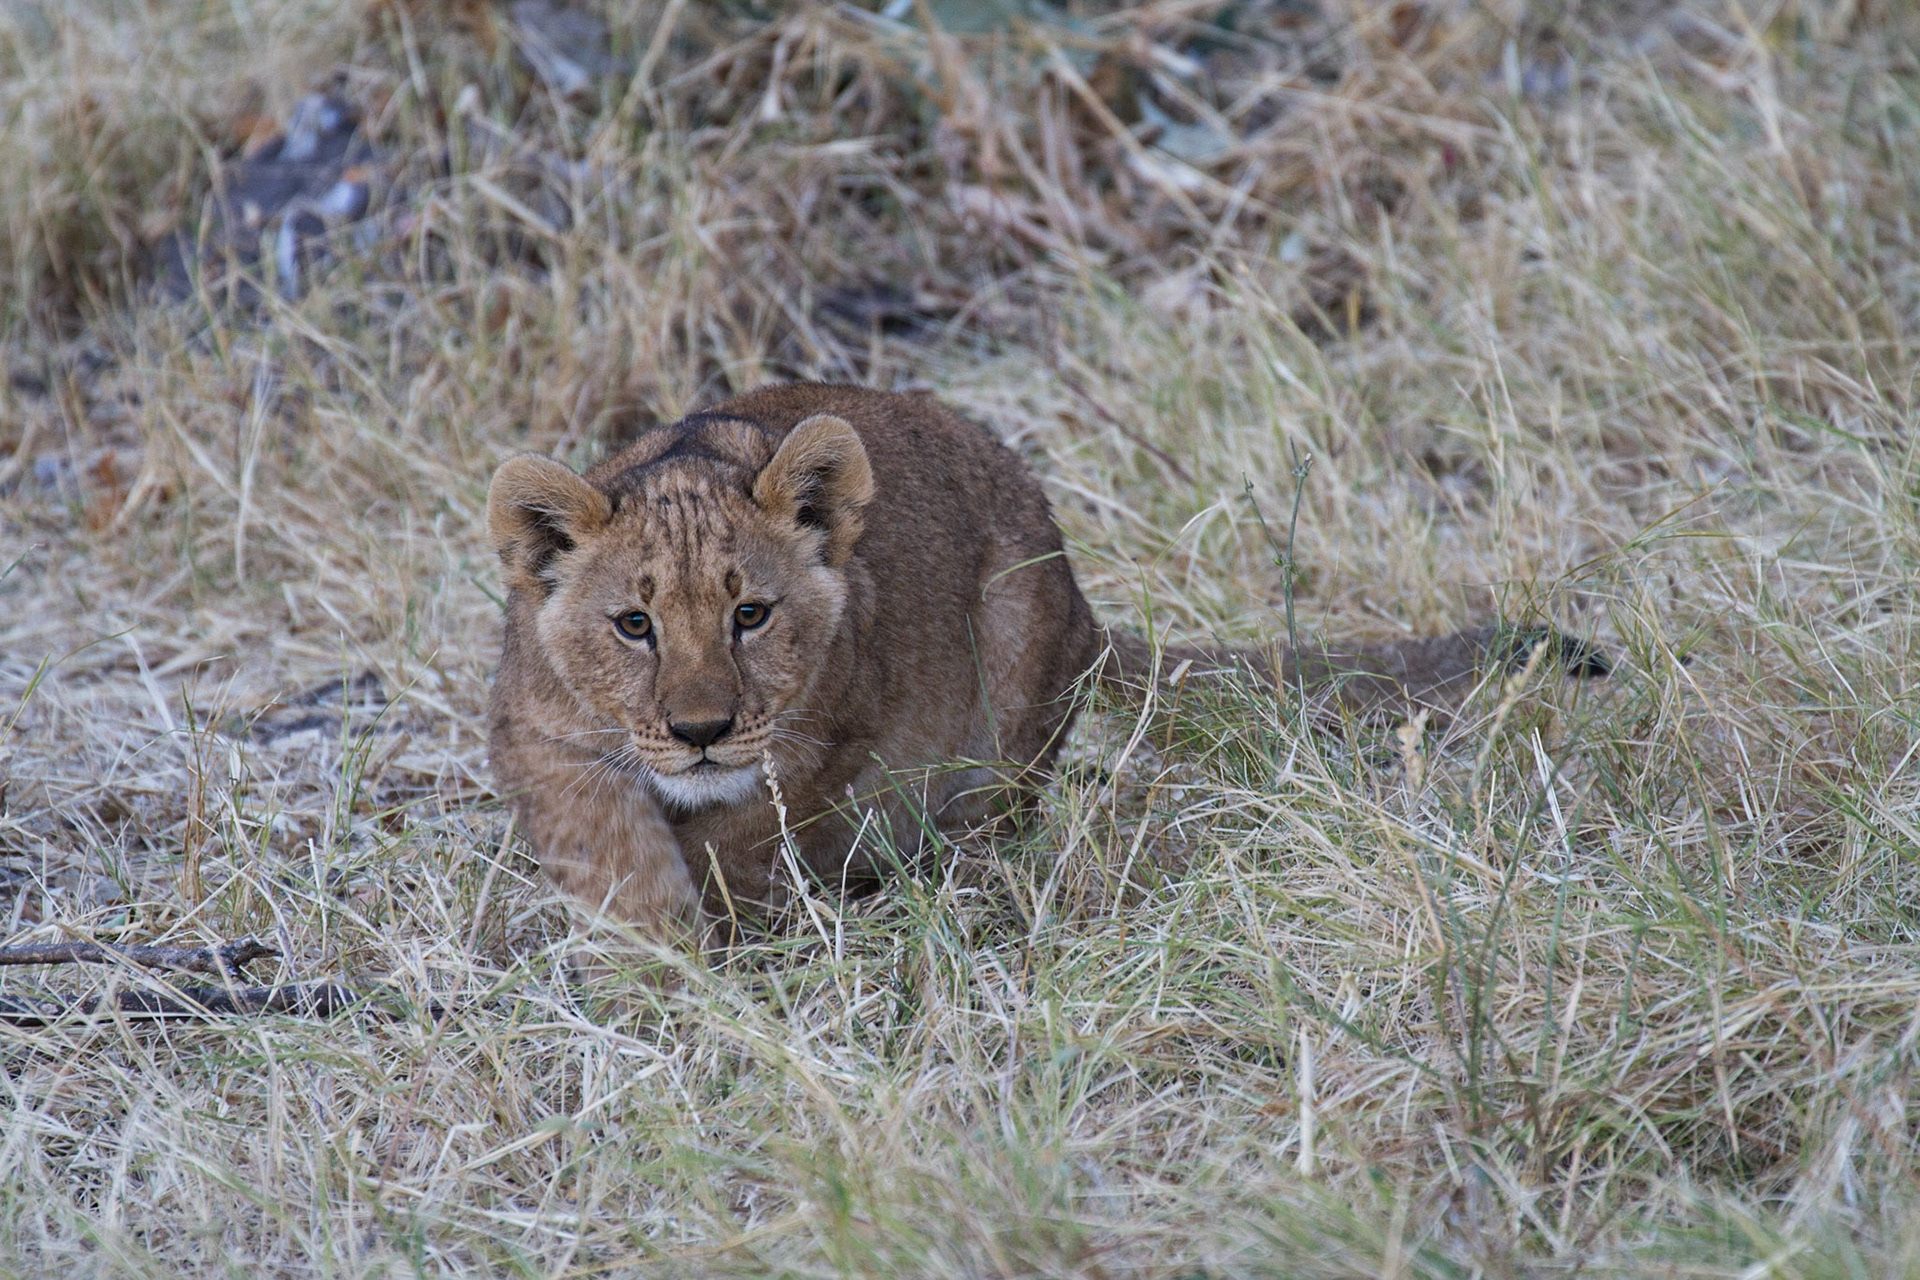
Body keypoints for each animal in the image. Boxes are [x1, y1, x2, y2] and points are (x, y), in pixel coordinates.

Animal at [485, 384, 1604, 942]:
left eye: (750, 614)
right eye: (634, 624)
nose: (701, 730)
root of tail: (1079, 602)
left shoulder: (826, 738)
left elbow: (743, 841)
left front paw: (708, 948)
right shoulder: (541, 736)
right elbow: (609, 848)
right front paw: (657, 960)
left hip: (1012, 652)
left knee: (997, 824)